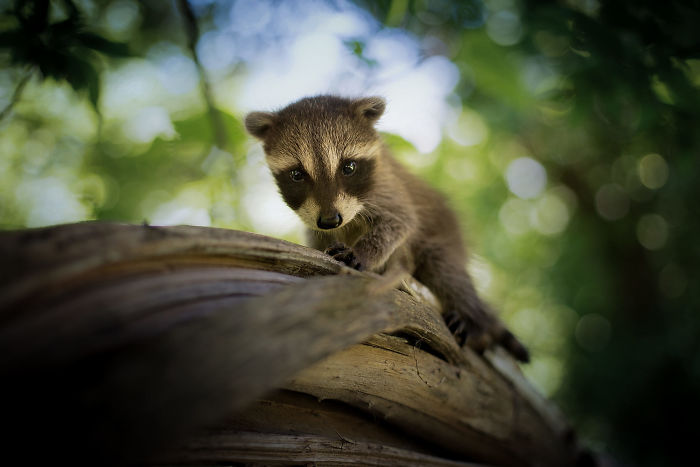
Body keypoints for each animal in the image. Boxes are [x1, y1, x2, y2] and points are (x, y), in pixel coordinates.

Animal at [245, 95, 529, 362]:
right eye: (297, 174)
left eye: (348, 167)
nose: (330, 220)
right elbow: (318, 240)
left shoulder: (387, 187)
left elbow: (399, 222)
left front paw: (362, 253)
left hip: (445, 237)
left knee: (447, 272)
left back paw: (474, 320)